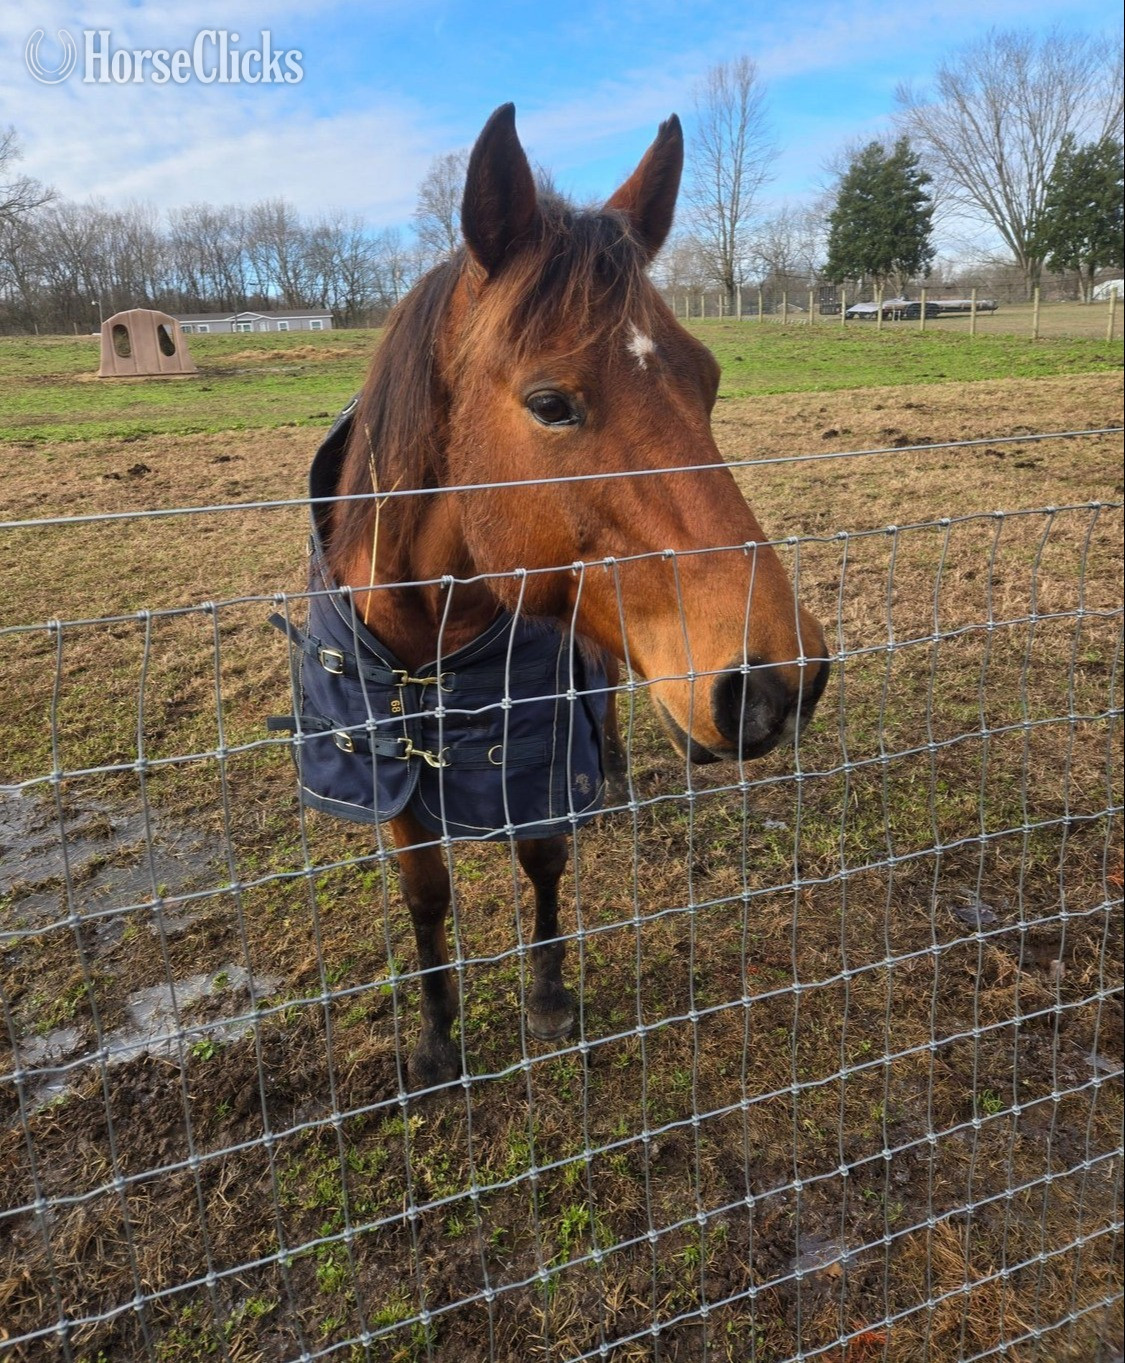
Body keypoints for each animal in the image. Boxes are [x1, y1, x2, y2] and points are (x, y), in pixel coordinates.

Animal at [276, 104, 830, 1092]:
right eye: (549, 403)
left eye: (708, 379)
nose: (781, 681)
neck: (430, 639)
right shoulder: (386, 773)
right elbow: (426, 896)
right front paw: (436, 1035)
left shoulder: (534, 749)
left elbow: (541, 858)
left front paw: (545, 994)